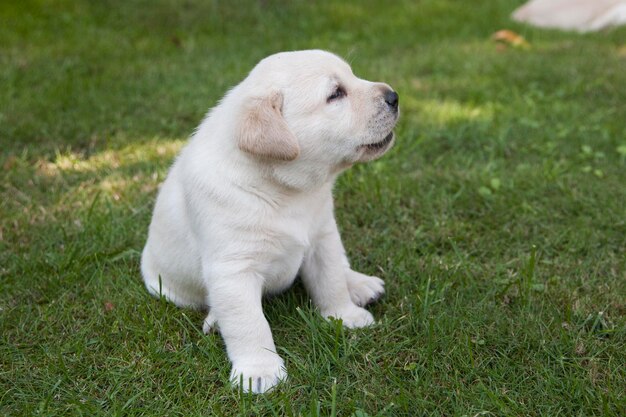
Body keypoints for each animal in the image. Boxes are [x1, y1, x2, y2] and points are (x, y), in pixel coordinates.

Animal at [140, 50, 400, 392]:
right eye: (335, 94)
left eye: (352, 76)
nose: (394, 96)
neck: (284, 190)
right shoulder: (233, 269)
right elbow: (249, 323)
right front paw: (258, 371)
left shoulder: (322, 238)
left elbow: (331, 280)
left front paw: (345, 316)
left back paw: (360, 283)